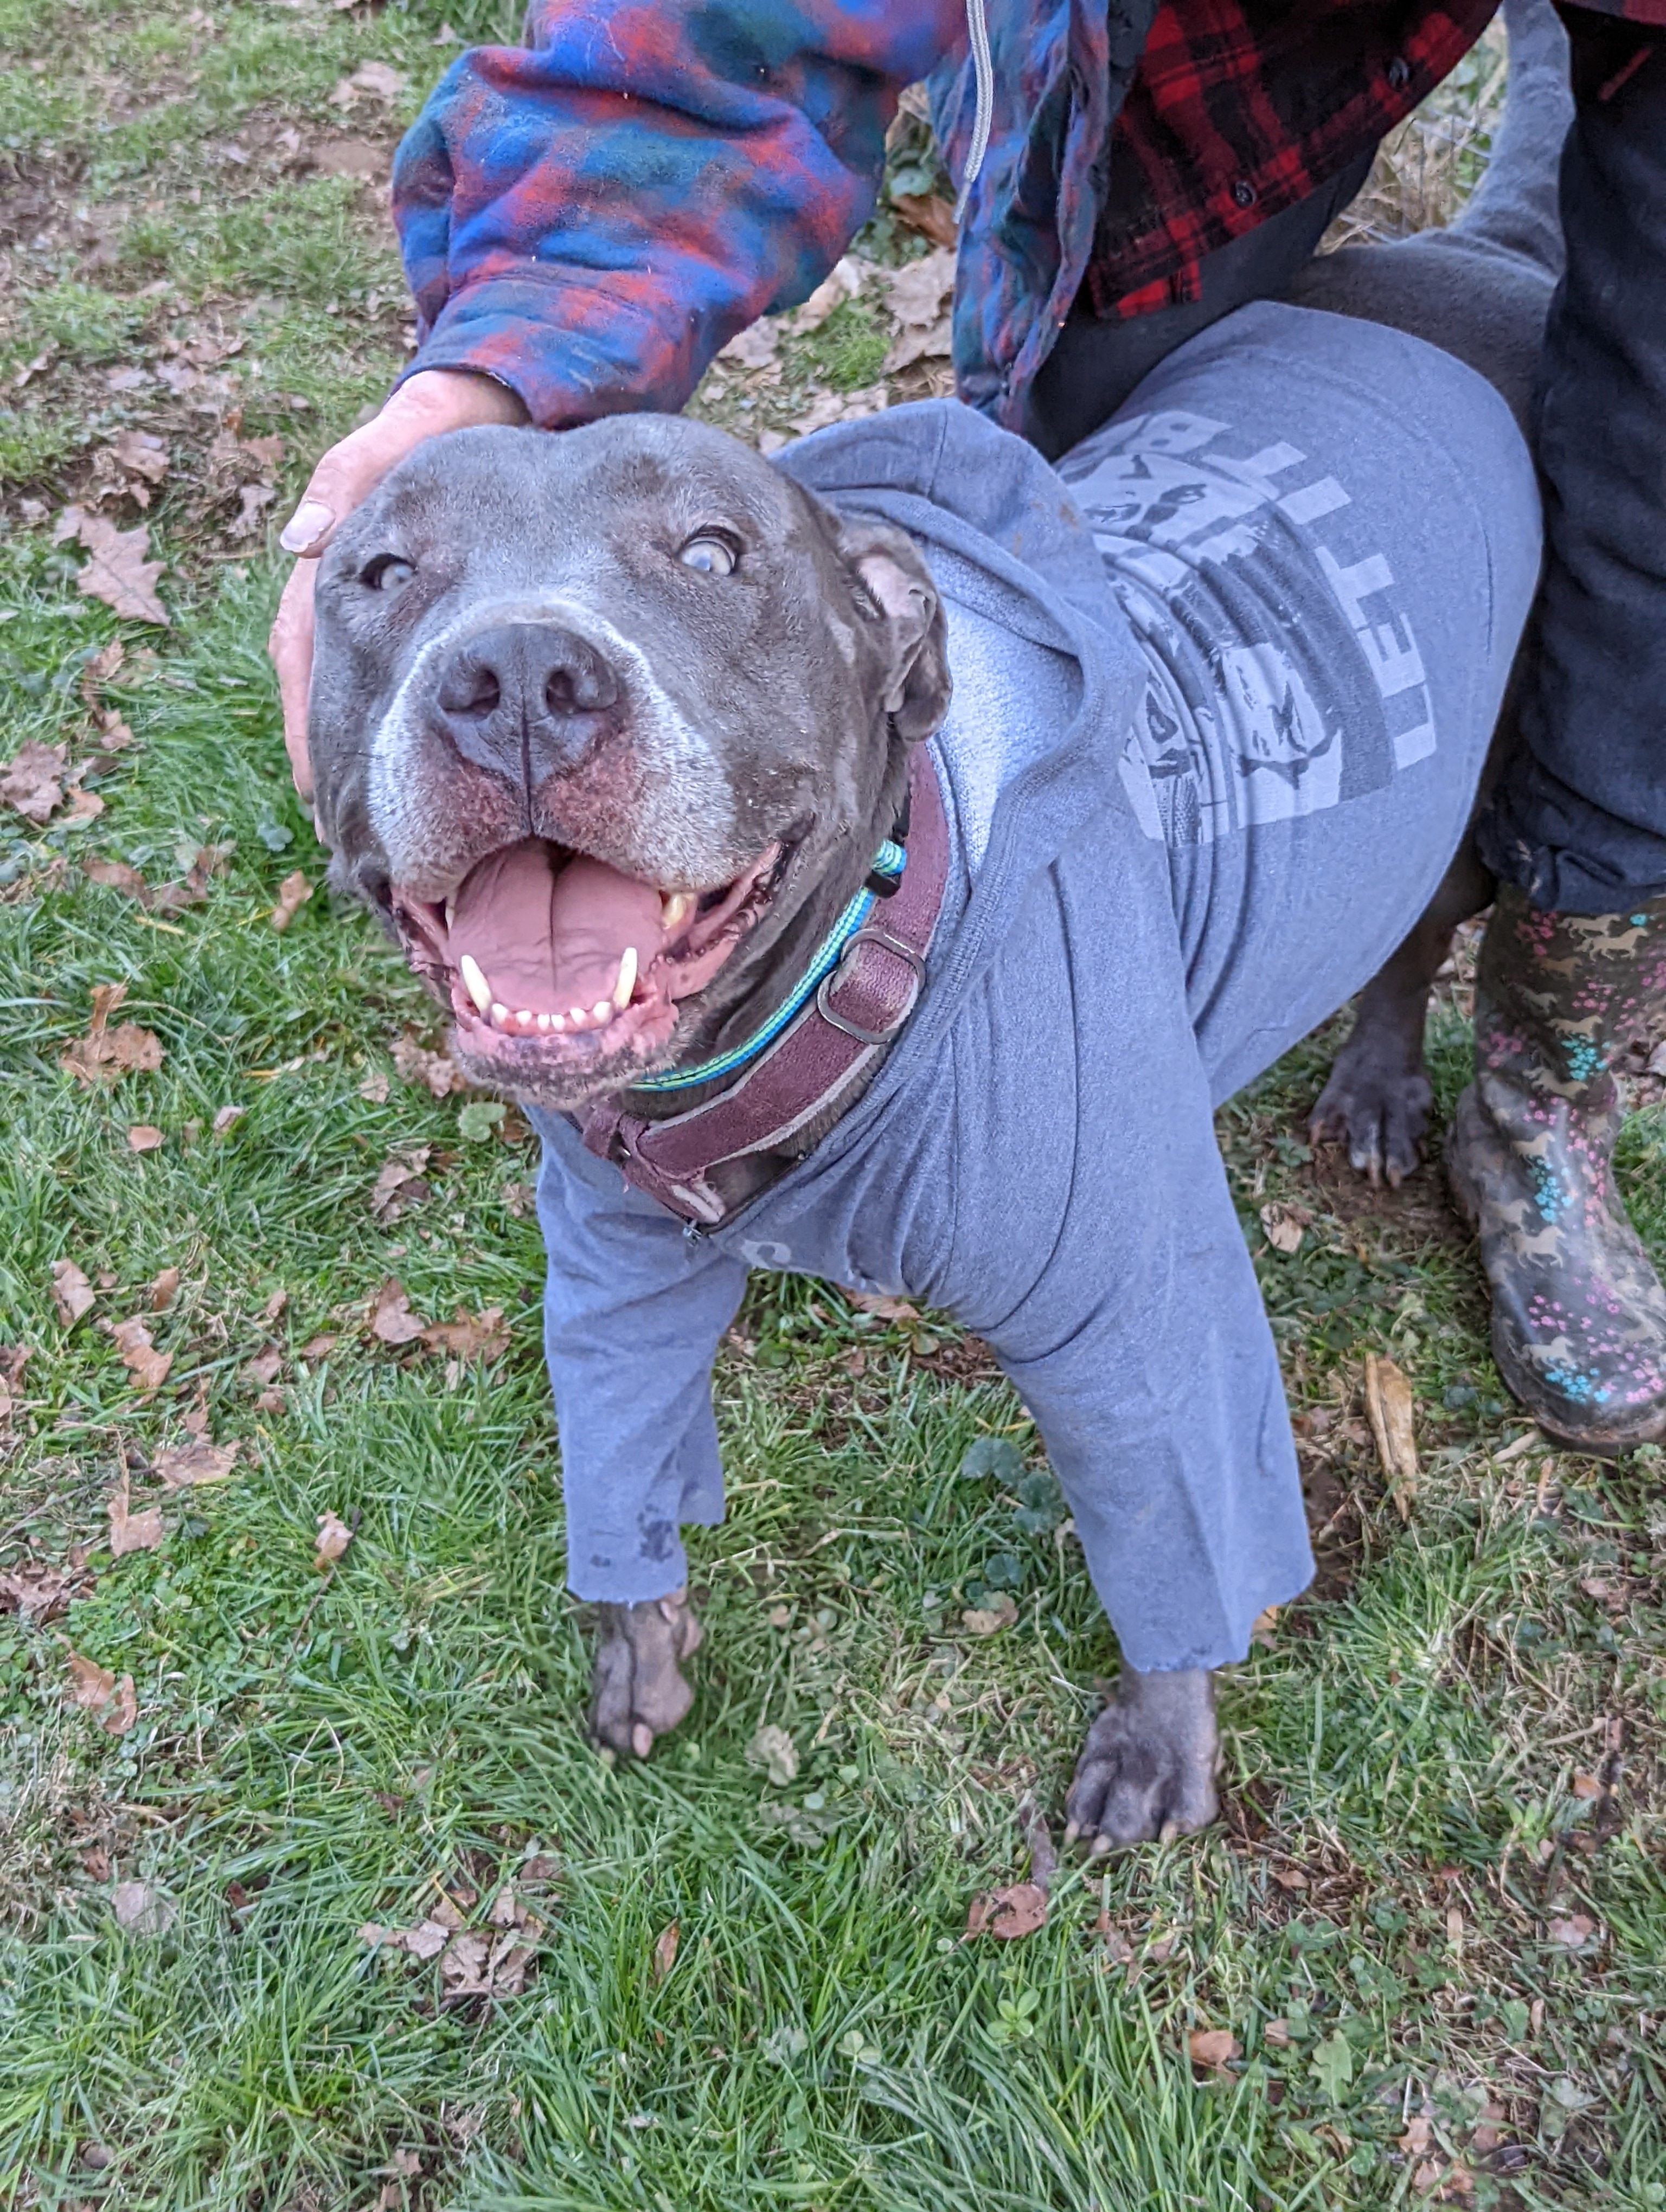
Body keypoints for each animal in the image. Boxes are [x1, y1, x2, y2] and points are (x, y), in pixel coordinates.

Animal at [305, 0, 1566, 1849]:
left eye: (712, 552)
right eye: (380, 574)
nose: (519, 679)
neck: (840, 983)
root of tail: (1483, 254)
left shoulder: (1139, 1312)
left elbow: (1176, 1531)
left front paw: (1158, 1746)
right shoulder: (610, 1265)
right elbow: (619, 1442)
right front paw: (637, 1645)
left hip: (1488, 794)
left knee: (1423, 930)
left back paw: (1381, 1086)